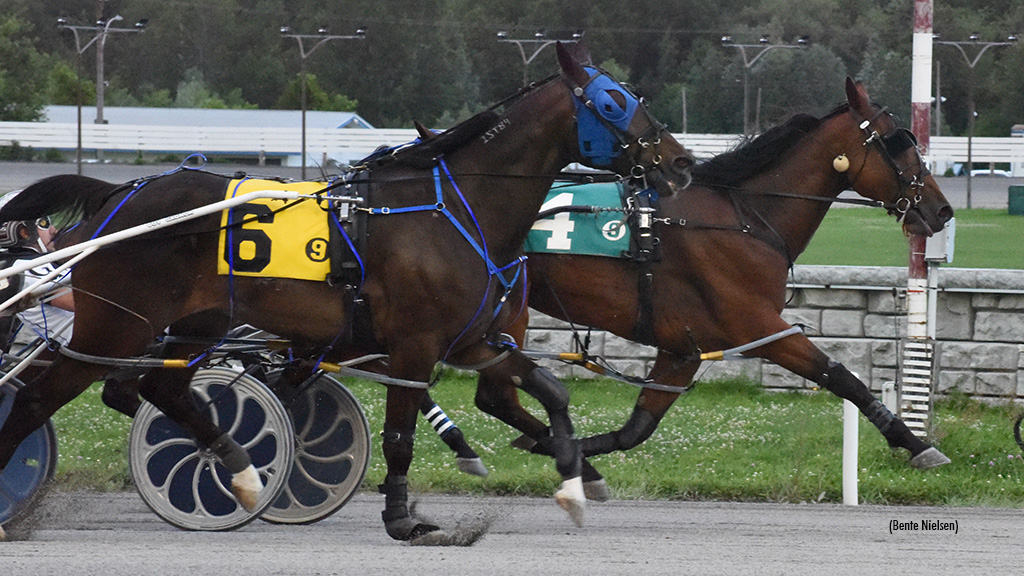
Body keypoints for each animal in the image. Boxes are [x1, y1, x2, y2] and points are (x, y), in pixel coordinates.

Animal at [0, 42, 694, 542]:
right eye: (613, 103)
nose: (681, 163)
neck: (455, 212)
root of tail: (119, 195)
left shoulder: (472, 340)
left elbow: (549, 390)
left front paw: (574, 481)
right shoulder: (414, 344)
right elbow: (400, 433)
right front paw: (403, 517)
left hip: (196, 324)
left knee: (159, 387)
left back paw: (243, 473)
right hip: (116, 325)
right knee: (40, 397)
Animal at [471, 77, 954, 492]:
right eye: (898, 141)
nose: (942, 209)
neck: (744, 218)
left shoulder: (683, 347)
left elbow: (636, 429)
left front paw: (565, 447)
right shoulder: (757, 325)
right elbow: (841, 376)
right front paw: (918, 445)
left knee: (495, 396)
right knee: (495, 396)